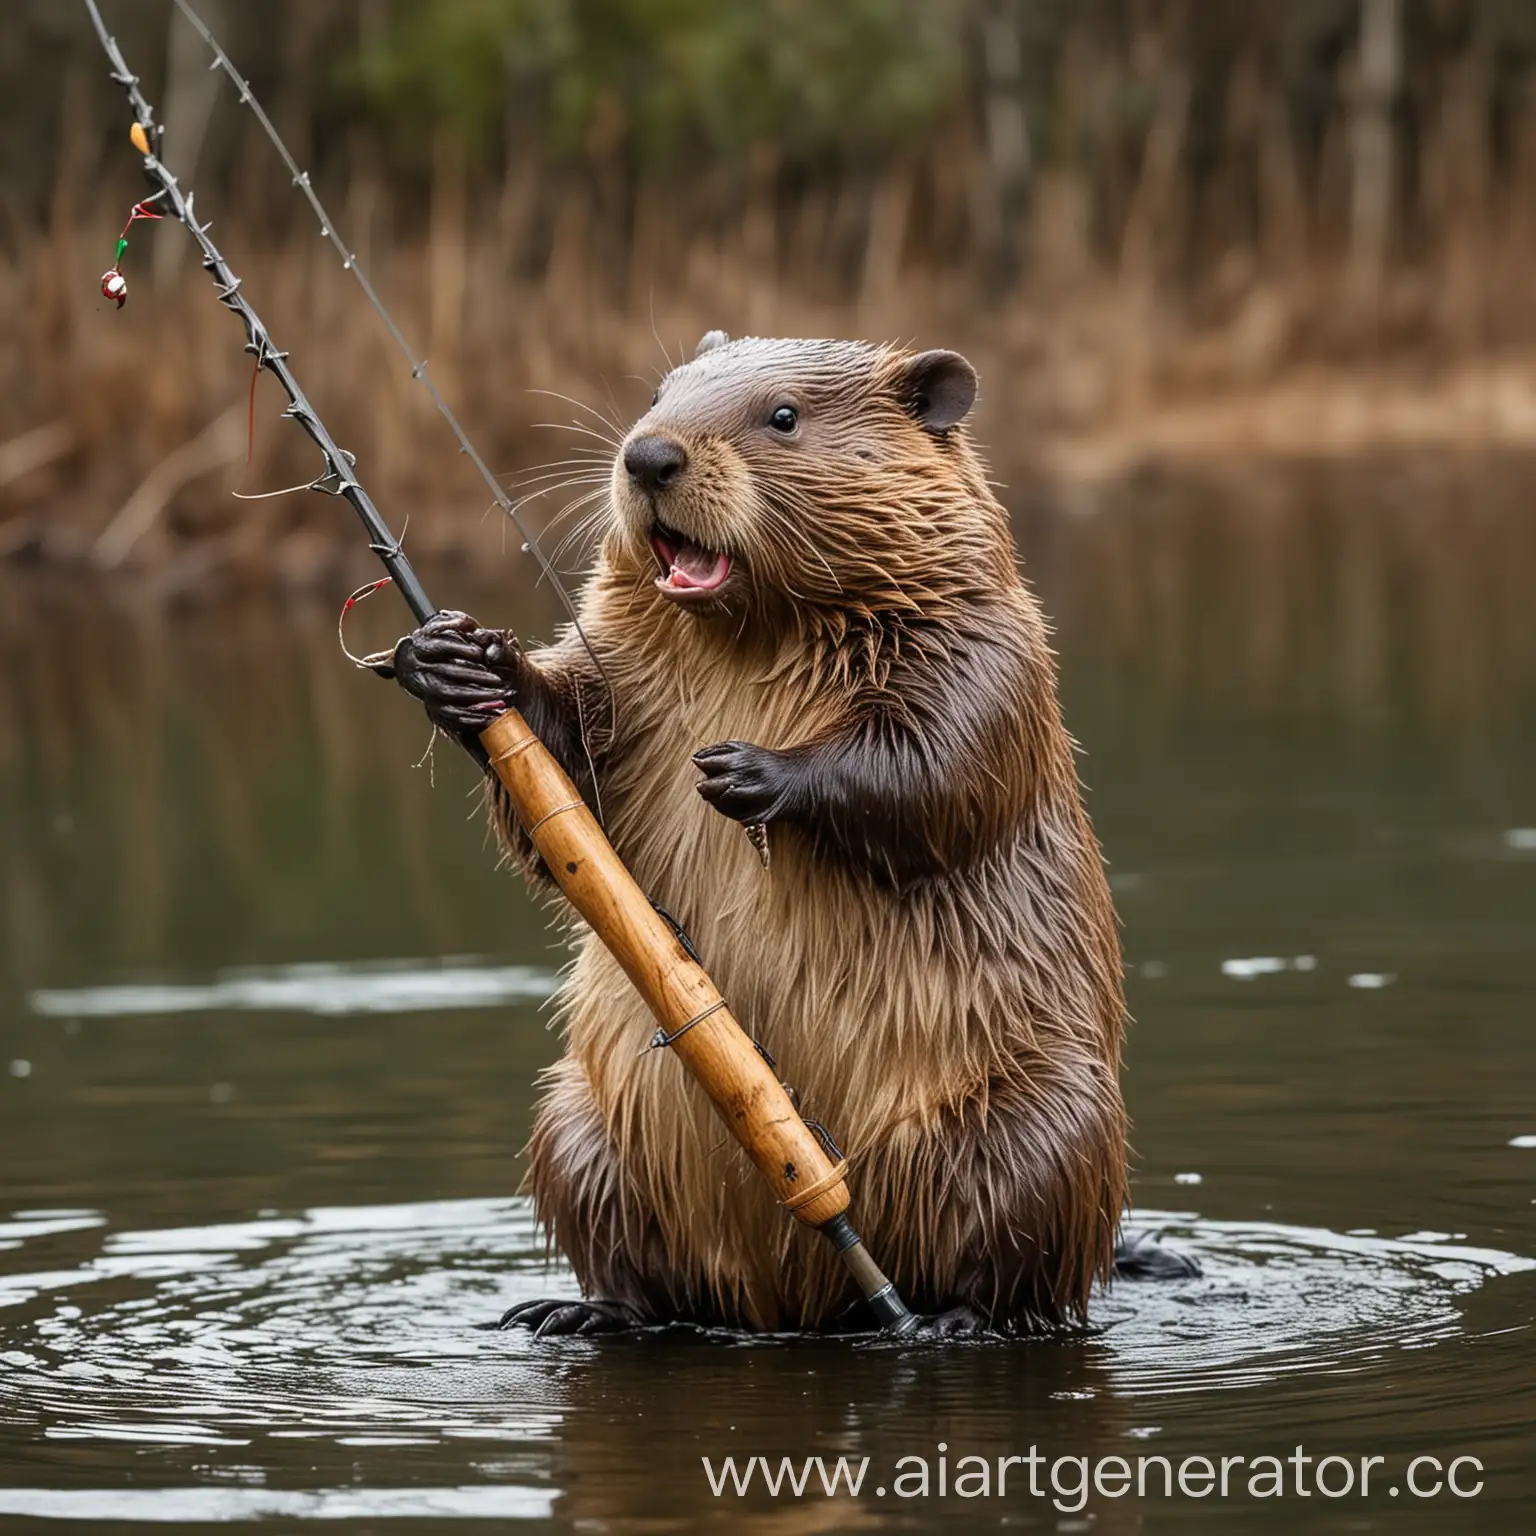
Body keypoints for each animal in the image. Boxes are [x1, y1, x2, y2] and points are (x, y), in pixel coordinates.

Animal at [390, 333, 1148, 1333]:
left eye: (784, 415)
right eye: (660, 391)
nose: (650, 456)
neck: (750, 636)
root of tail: (791, 1304)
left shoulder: (988, 643)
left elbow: (944, 766)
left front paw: (742, 772)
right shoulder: (619, 654)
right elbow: (567, 771)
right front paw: (457, 660)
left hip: (1045, 1121)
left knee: (1024, 1259)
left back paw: (957, 1318)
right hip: (579, 1120)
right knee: (636, 1263)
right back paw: (576, 1312)